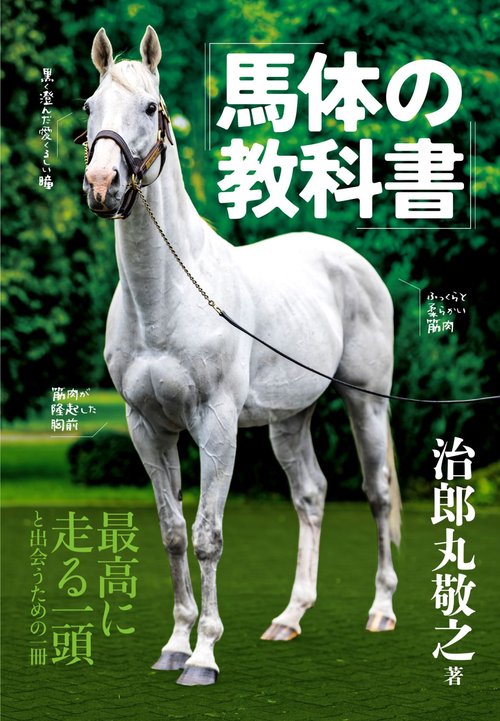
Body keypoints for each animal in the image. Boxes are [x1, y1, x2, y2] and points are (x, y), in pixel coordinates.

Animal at [82, 26, 401, 686]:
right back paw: (289, 617)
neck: (166, 299)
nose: (102, 186)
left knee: (377, 492)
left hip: (367, 402)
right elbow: (173, 533)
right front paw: (174, 646)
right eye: (89, 108)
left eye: (149, 108)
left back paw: (381, 611)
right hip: (290, 419)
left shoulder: (216, 426)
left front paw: (203, 657)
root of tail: (351, 261)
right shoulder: (148, 428)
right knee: (312, 494)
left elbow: (209, 536)